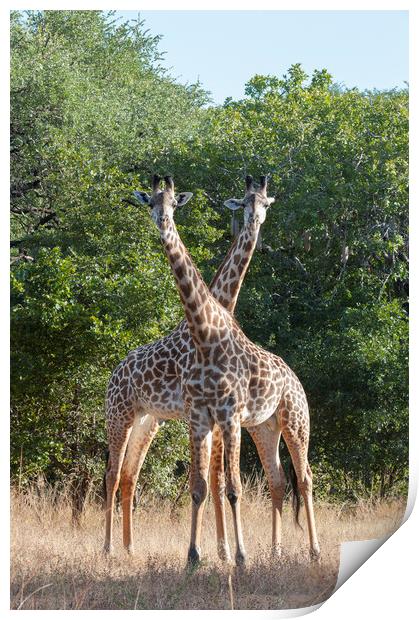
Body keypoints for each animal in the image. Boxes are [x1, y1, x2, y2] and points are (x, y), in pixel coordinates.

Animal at [103, 174, 278, 560]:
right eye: (150, 202)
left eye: (264, 203)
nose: (255, 220)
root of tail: (115, 372)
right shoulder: (199, 415)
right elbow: (211, 481)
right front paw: (222, 552)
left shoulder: (217, 416)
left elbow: (217, 480)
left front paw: (223, 552)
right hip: (118, 415)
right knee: (111, 474)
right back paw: (107, 549)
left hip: (147, 420)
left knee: (129, 475)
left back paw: (130, 548)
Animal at [144, 174, 322, 568]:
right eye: (150, 201)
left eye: (265, 203)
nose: (162, 221)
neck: (205, 335)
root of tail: (296, 379)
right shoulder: (200, 416)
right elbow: (200, 487)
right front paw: (194, 558)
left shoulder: (227, 416)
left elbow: (233, 488)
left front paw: (238, 557)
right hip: (262, 427)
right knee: (278, 479)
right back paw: (275, 551)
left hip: (292, 421)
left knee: (303, 476)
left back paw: (313, 552)